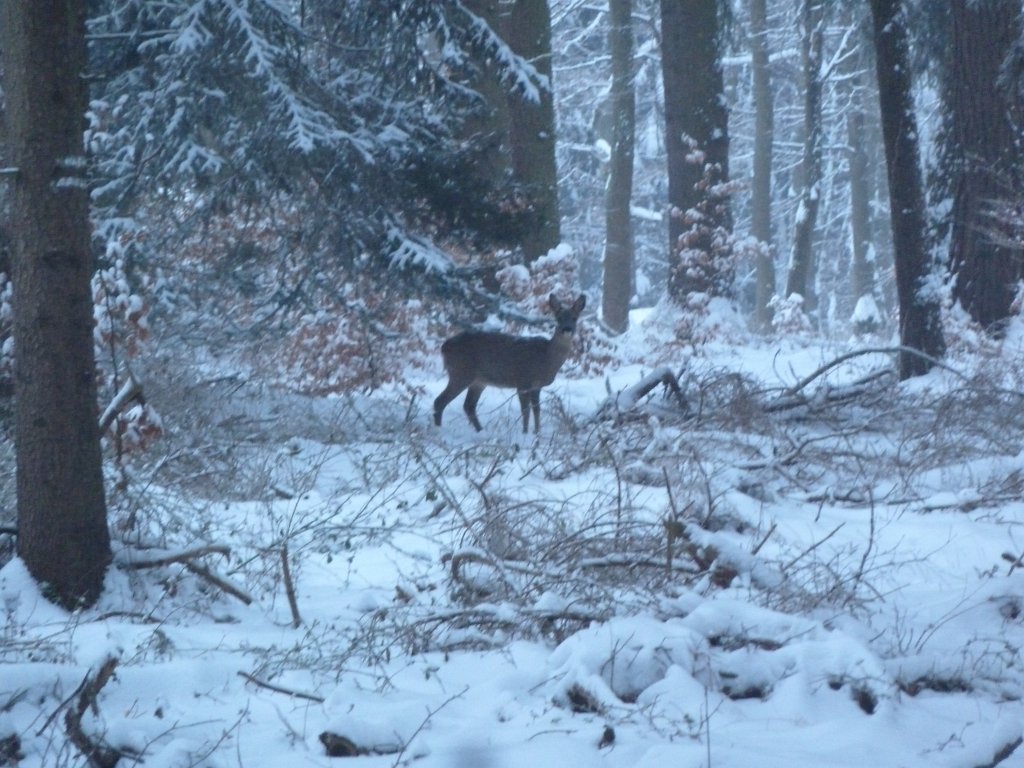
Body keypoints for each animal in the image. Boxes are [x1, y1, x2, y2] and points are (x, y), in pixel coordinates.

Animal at [433, 293, 586, 434]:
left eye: (575, 318)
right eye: (558, 318)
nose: (567, 329)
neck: (546, 358)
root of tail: (444, 346)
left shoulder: (536, 386)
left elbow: (537, 410)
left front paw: (537, 433)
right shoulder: (523, 381)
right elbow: (526, 411)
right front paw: (525, 433)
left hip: (479, 380)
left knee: (468, 405)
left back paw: (480, 431)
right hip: (461, 372)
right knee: (440, 401)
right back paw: (438, 430)